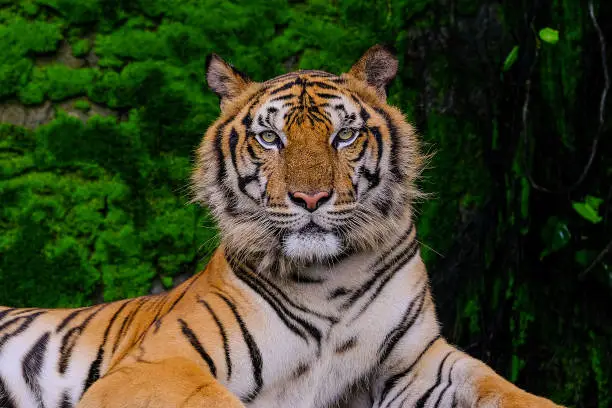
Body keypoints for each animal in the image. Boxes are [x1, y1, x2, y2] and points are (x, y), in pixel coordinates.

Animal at [0, 44, 564, 408]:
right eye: (270, 138)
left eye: (344, 135)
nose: (310, 198)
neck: (331, 278)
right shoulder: (160, 364)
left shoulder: (417, 362)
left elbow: (504, 389)